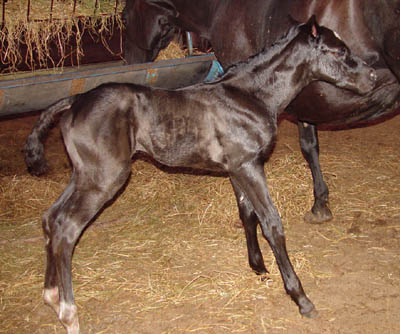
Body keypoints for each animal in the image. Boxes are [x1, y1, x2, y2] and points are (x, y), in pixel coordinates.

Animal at [25, 17, 376, 332]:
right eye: (339, 51)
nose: (372, 76)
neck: (251, 96)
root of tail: (74, 101)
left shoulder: (238, 167)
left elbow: (247, 214)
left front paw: (259, 267)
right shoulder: (248, 165)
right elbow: (272, 224)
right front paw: (301, 298)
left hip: (83, 174)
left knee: (50, 218)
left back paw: (51, 296)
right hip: (104, 178)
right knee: (67, 228)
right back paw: (69, 314)